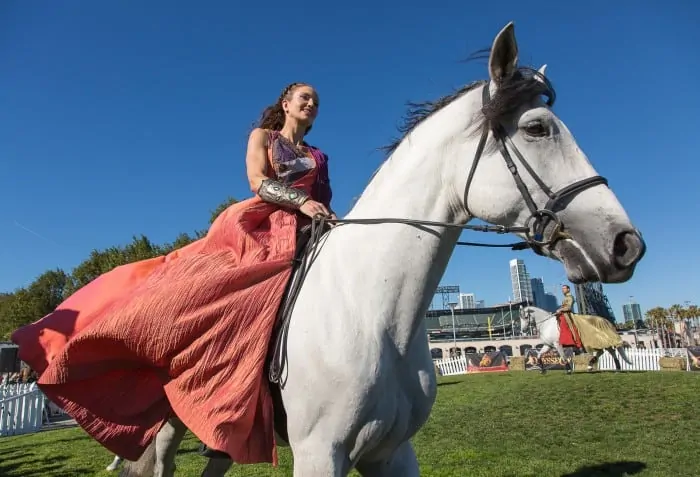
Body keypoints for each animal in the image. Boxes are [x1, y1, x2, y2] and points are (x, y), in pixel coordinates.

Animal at [119, 21, 644, 476]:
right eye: (537, 128)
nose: (627, 244)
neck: (373, 312)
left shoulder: (392, 452)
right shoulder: (319, 455)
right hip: (164, 428)